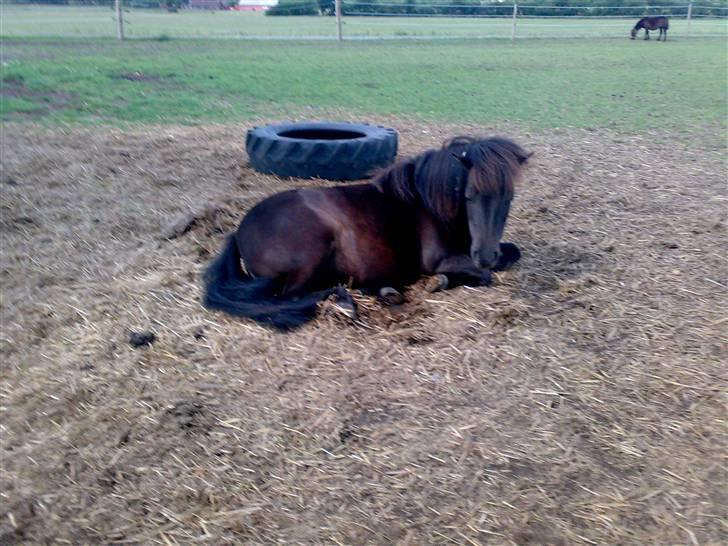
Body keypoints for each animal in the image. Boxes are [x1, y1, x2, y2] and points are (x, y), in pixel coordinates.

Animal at [203, 135, 528, 328]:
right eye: (469, 194)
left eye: (509, 197)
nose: (485, 254)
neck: (427, 203)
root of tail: (240, 232)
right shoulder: (439, 260)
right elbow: (483, 275)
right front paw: (441, 281)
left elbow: (513, 252)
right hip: (310, 255)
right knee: (288, 297)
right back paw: (347, 302)